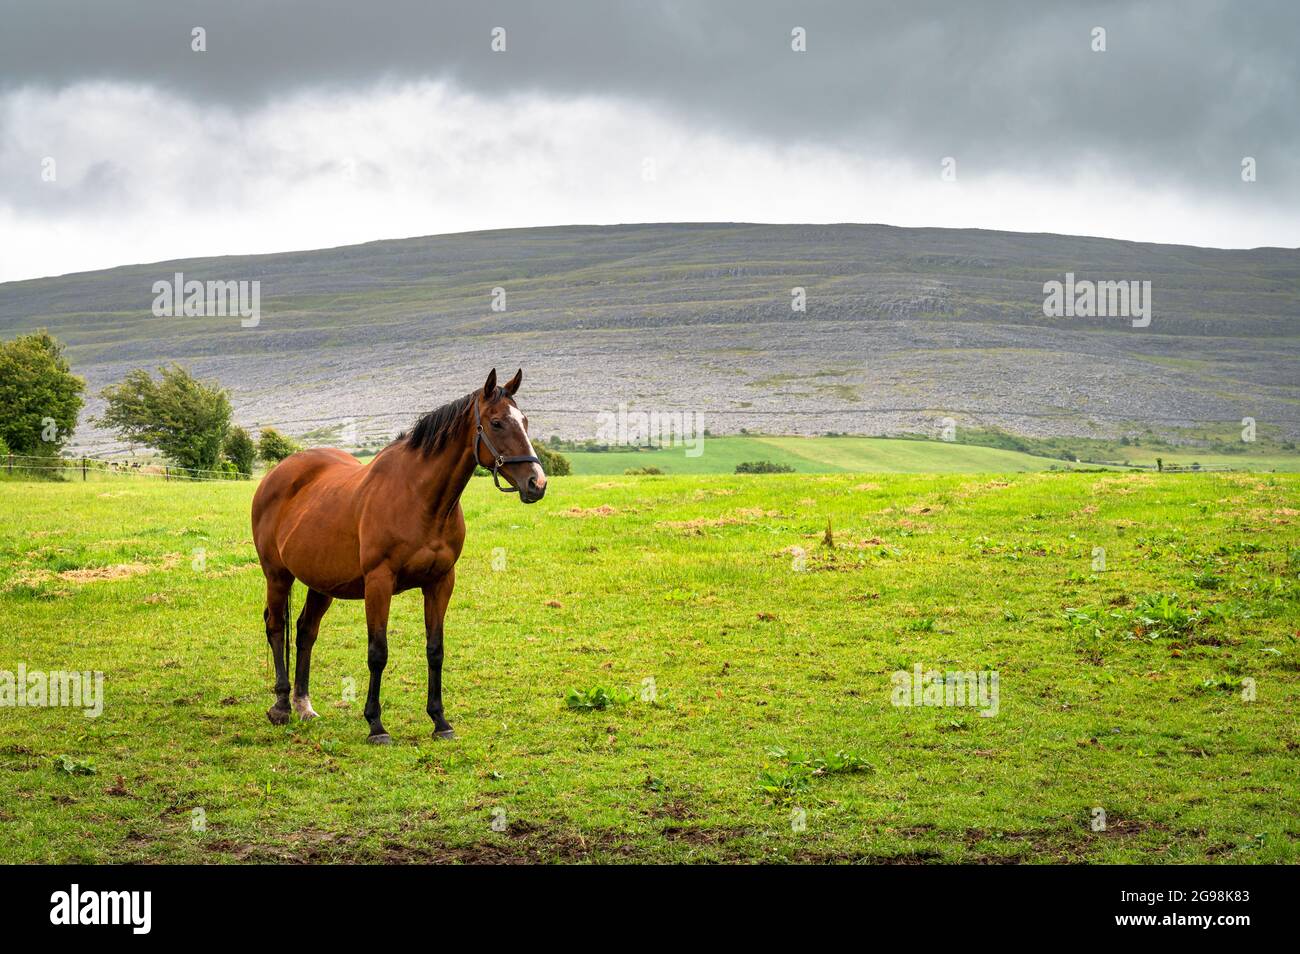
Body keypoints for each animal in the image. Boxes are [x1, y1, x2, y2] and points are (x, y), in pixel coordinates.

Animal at [250, 368, 546, 744]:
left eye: (524, 420)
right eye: (496, 423)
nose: (537, 483)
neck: (419, 498)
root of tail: (275, 475)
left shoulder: (440, 582)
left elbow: (435, 650)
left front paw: (440, 721)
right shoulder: (379, 583)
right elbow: (378, 652)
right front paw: (375, 725)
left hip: (322, 583)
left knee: (305, 632)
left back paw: (304, 705)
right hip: (277, 575)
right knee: (276, 627)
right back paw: (281, 706)